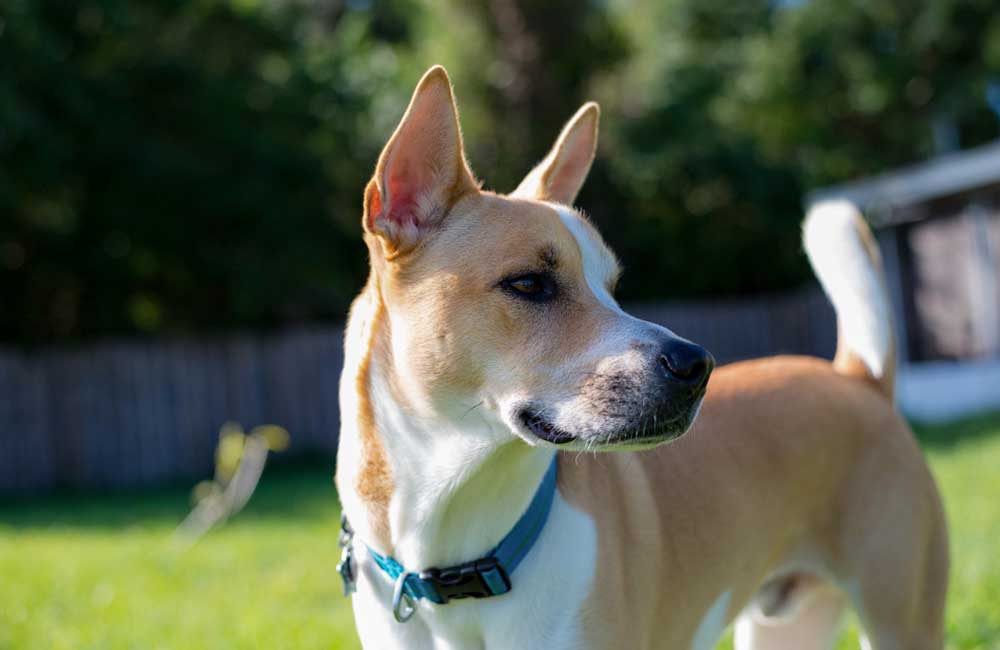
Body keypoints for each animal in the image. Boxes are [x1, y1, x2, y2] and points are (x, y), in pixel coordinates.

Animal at [334, 66, 944, 648]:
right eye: (528, 283)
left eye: (612, 286)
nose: (695, 364)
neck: (455, 552)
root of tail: (856, 379)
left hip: (901, 621)